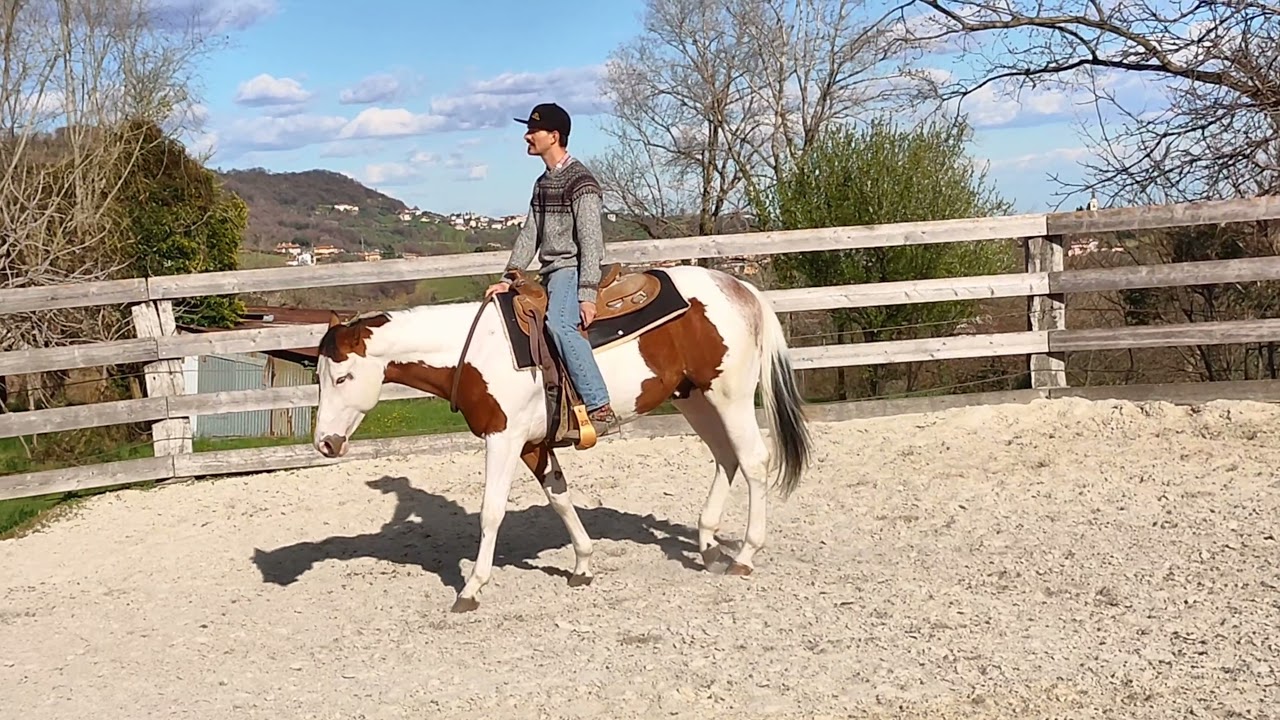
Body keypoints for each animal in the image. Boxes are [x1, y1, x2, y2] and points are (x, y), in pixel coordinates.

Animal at [310, 262, 813, 613]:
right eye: (318, 376)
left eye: (343, 376)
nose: (325, 443)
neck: (474, 352)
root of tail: (741, 289)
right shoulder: (534, 445)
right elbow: (559, 497)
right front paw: (583, 564)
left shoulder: (503, 438)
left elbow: (491, 512)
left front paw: (471, 589)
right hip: (693, 397)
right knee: (726, 457)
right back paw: (707, 545)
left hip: (729, 395)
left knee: (753, 460)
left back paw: (744, 555)